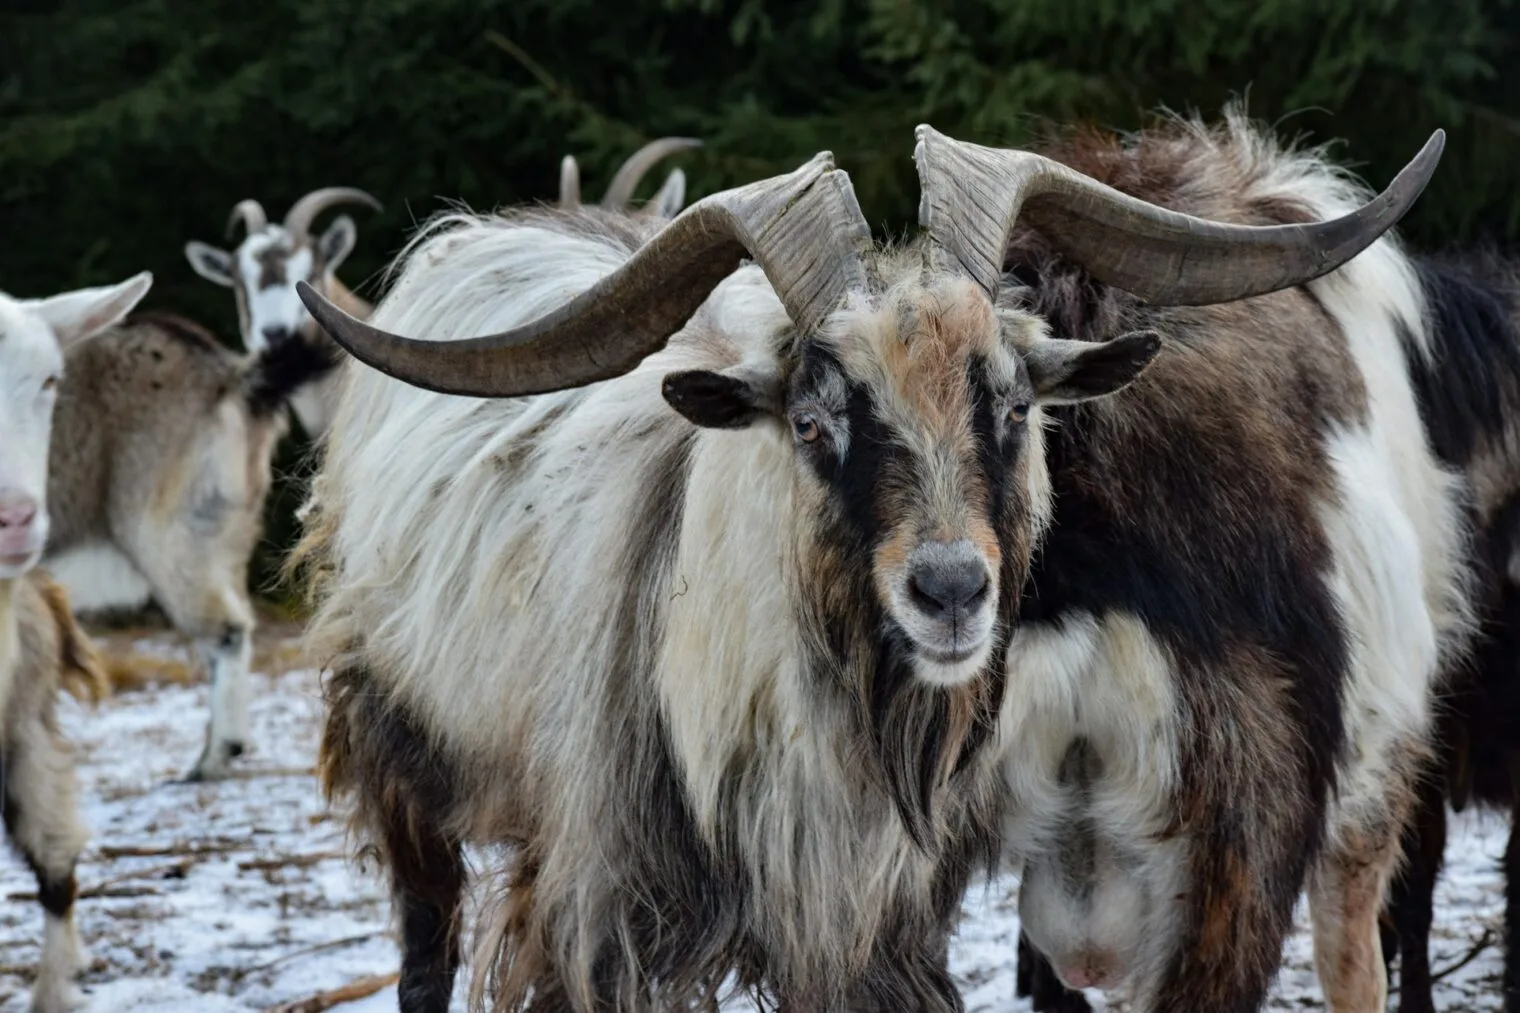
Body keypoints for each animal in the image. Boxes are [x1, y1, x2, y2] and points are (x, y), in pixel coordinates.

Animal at [293, 112, 1441, 1012]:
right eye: (811, 420)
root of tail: (478, 235)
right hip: (394, 740)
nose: (950, 590)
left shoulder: (863, 928)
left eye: (1012, 403)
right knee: (423, 942)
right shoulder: (590, 907)